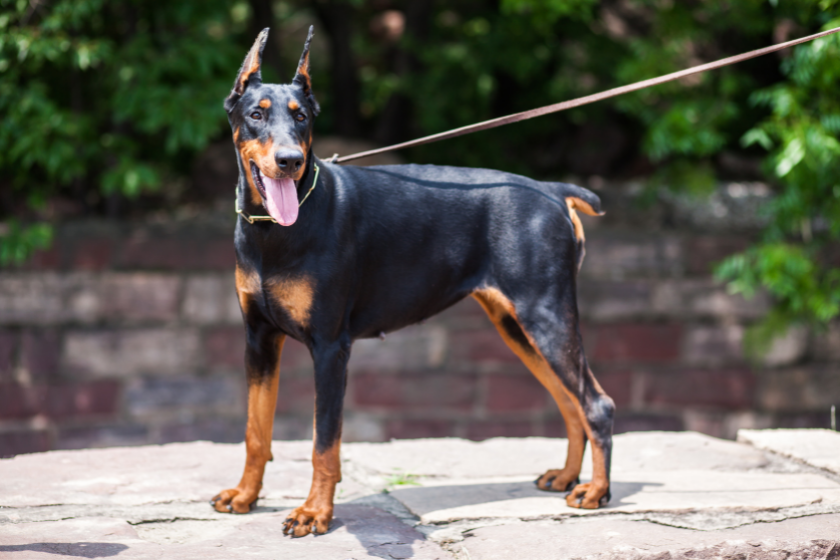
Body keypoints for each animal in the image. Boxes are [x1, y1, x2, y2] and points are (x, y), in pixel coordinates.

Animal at [210, 27, 612, 540]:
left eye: (301, 117)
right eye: (256, 113)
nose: (290, 160)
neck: (272, 231)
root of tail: (553, 191)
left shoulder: (330, 347)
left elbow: (324, 442)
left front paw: (315, 513)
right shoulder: (258, 339)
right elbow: (255, 431)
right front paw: (245, 496)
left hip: (547, 318)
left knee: (596, 402)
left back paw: (595, 491)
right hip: (517, 327)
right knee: (569, 400)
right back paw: (566, 476)